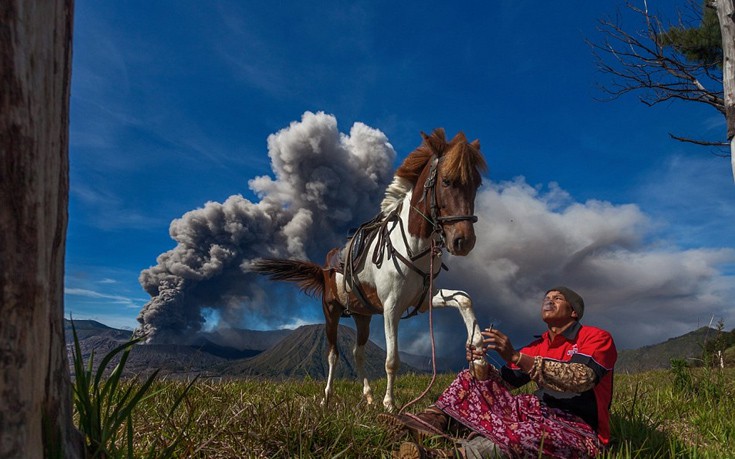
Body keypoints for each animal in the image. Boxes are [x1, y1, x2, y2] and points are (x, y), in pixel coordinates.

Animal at [252, 127, 488, 412]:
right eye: (447, 181)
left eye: (476, 184)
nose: (464, 241)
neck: (411, 246)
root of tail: (324, 269)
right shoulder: (391, 307)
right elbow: (392, 359)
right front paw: (390, 404)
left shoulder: (422, 301)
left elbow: (464, 299)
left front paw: (478, 358)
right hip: (331, 312)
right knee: (333, 354)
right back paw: (327, 397)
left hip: (362, 316)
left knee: (357, 352)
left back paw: (367, 395)